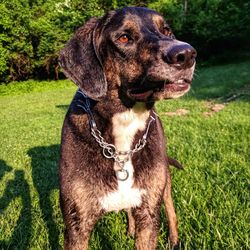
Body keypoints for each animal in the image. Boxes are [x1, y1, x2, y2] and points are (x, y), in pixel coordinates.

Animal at [58, 6, 195, 250]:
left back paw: (174, 240)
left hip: (164, 187)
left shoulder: (148, 214)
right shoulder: (77, 225)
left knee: (171, 211)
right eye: (124, 38)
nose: (186, 54)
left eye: (166, 30)